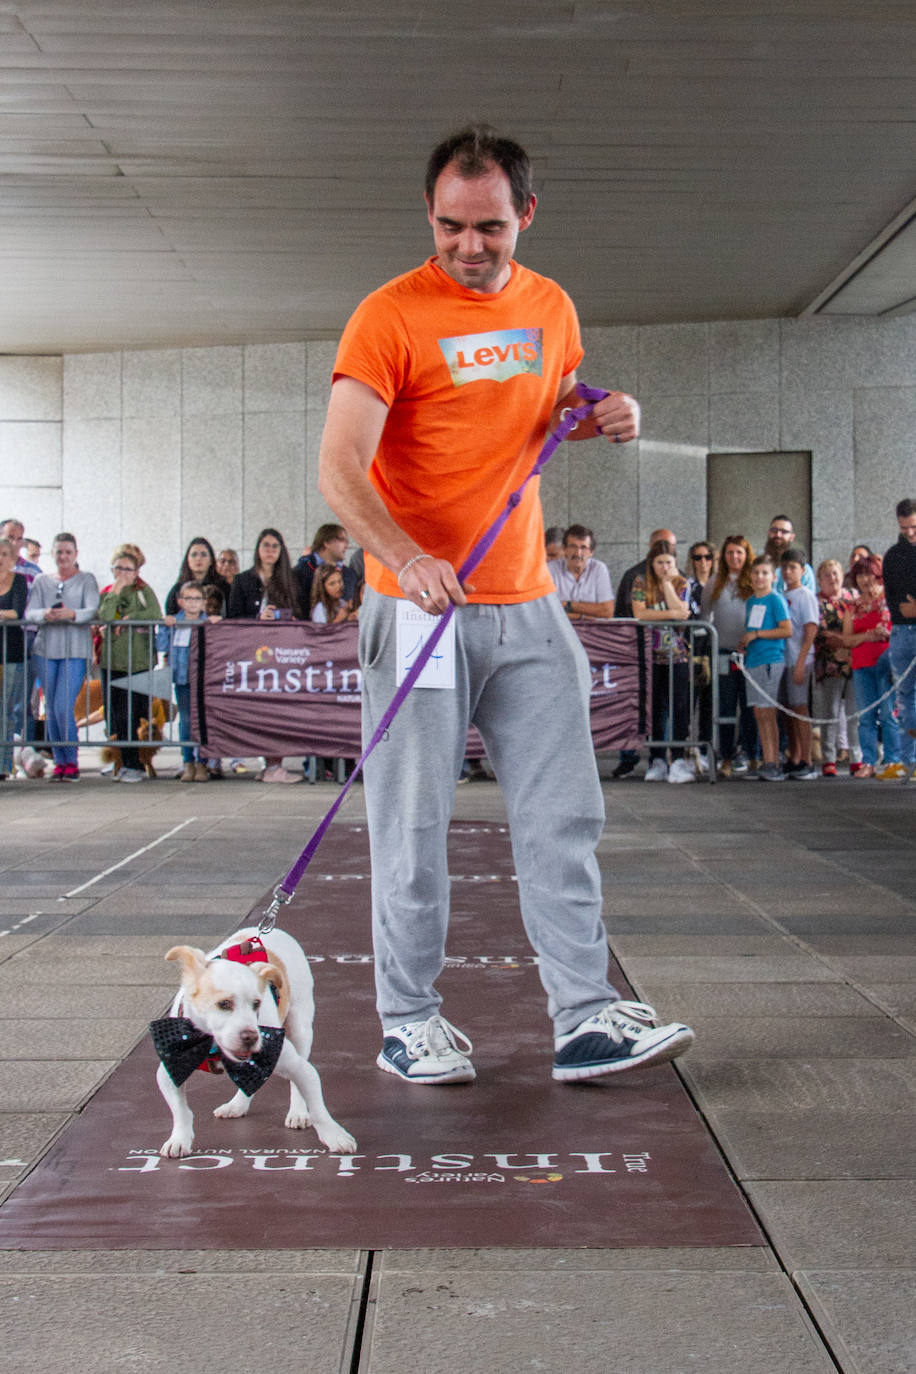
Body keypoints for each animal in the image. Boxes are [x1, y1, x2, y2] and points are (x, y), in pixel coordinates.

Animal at [152, 923, 357, 1159]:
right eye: (224, 1004)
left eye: (256, 1004)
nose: (252, 1036)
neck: (212, 1046)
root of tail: (273, 930)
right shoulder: (171, 1067)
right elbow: (181, 1110)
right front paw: (179, 1139)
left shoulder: (299, 1067)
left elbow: (318, 1109)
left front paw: (336, 1136)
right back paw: (237, 1105)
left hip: (300, 1029)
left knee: (294, 1080)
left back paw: (297, 1112)